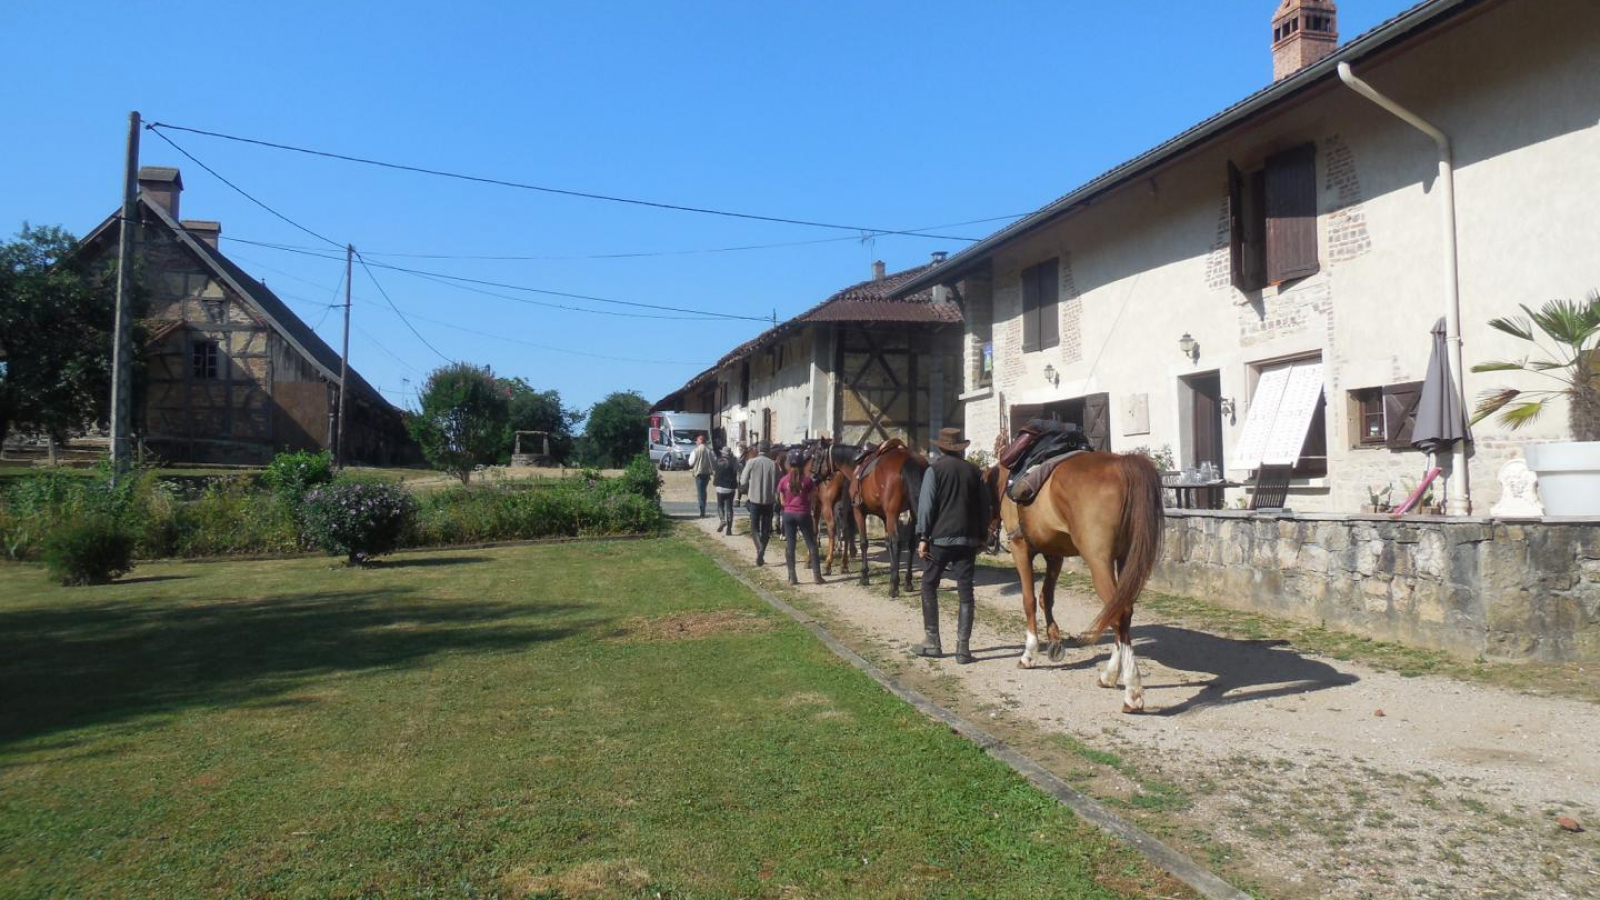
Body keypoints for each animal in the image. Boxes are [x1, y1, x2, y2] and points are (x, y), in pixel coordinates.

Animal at [851, 435, 928, 595]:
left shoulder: (859, 511)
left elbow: (864, 543)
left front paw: (864, 576)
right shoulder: (884, 515)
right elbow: (888, 543)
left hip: (893, 512)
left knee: (897, 542)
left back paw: (894, 586)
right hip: (912, 512)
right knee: (911, 543)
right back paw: (907, 582)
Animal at [992, 451, 1158, 711]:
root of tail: (1123, 465)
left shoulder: (1020, 548)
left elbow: (1029, 600)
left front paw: (1029, 653)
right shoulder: (1055, 555)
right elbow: (1046, 597)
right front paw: (1053, 639)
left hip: (1098, 561)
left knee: (1119, 613)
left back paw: (1132, 692)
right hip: (1125, 559)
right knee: (1121, 612)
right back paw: (1109, 676)